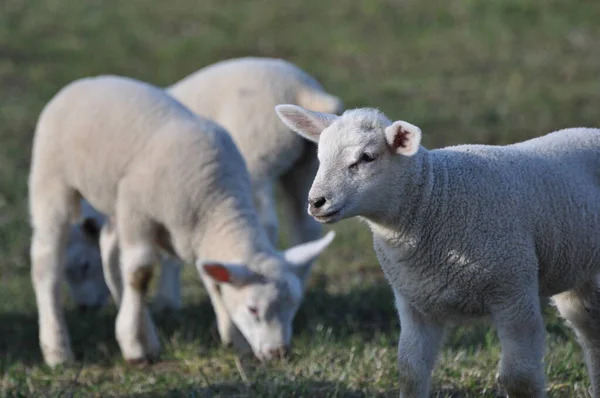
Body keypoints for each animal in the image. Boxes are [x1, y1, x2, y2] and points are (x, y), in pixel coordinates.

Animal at [28, 76, 336, 368]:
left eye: (294, 305)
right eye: (253, 309)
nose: (279, 353)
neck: (215, 202)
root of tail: (85, 82)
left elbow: (213, 280)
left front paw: (234, 340)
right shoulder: (137, 214)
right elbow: (140, 274)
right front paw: (134, 345)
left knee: (108, 248)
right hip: (52, 181)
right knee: (46, 261)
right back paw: (57, 350)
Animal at [276, 103, 600, 398]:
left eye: (366, 157)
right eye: (320, 157)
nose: (316, 202)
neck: (434, 196)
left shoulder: (513, 291)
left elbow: (519, 379)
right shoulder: (415, 301)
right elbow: (410, 371)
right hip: (576, 273)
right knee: (591, 331)